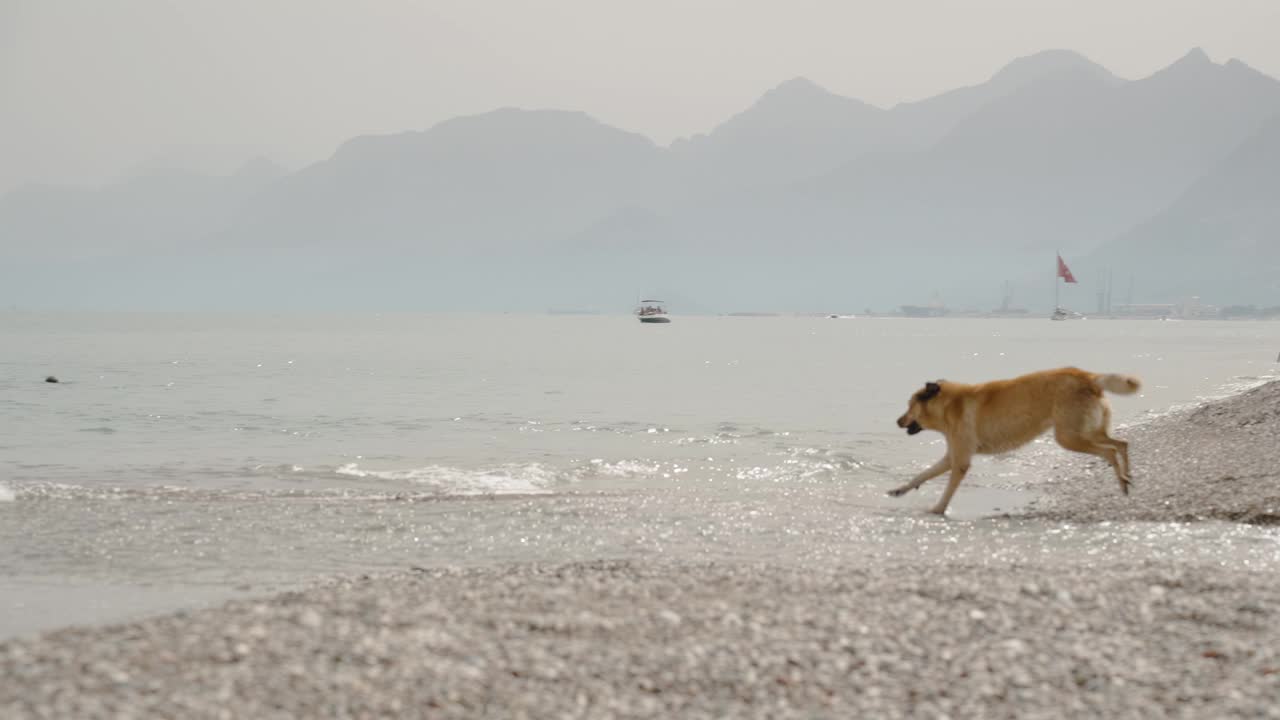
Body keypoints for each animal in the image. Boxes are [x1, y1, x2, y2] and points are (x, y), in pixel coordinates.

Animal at [890, 366, 1141, 512]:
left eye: (909, 406)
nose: (897, 421)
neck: (947, 405)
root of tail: (1088, 377)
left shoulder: (960, 460)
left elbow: (947, 490)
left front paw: (937, 510)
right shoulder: (952, 455)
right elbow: (923, 474)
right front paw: (899, 491)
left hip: (1069, 437)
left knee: (1110, 451)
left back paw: (1122, 481)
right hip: (1087, 431)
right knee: (1122, 444)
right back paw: (1127, 478)